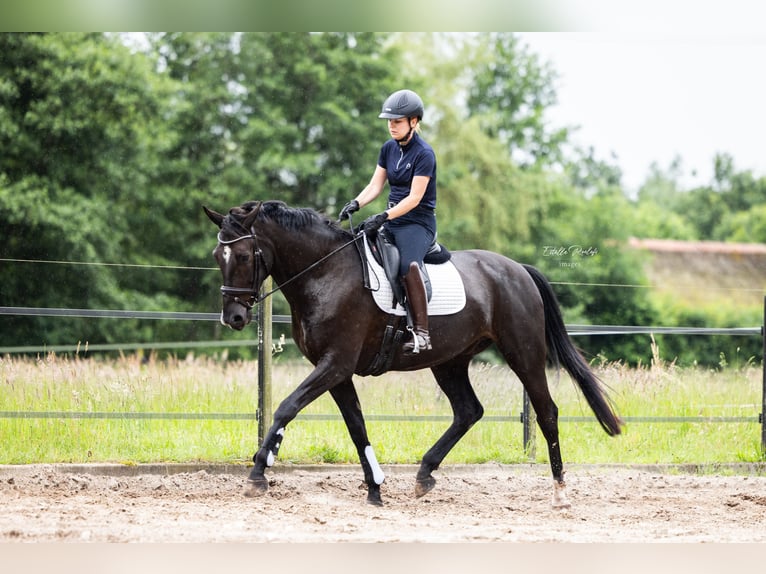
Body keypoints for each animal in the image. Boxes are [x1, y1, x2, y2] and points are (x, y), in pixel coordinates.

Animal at [206, 201, 624, 508]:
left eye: (242, 256)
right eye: (216, 255)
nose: (234, 317)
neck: (325, 273)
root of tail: (517, 269)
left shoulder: (335, 364)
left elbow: (286, 407)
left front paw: (259, 472)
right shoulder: (337, 371)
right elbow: (356, 426)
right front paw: (375, 487)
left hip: (524, 353)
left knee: (546, 412)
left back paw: (560, 492)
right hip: (450, 361)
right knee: (469, 411)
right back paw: (425, 474)